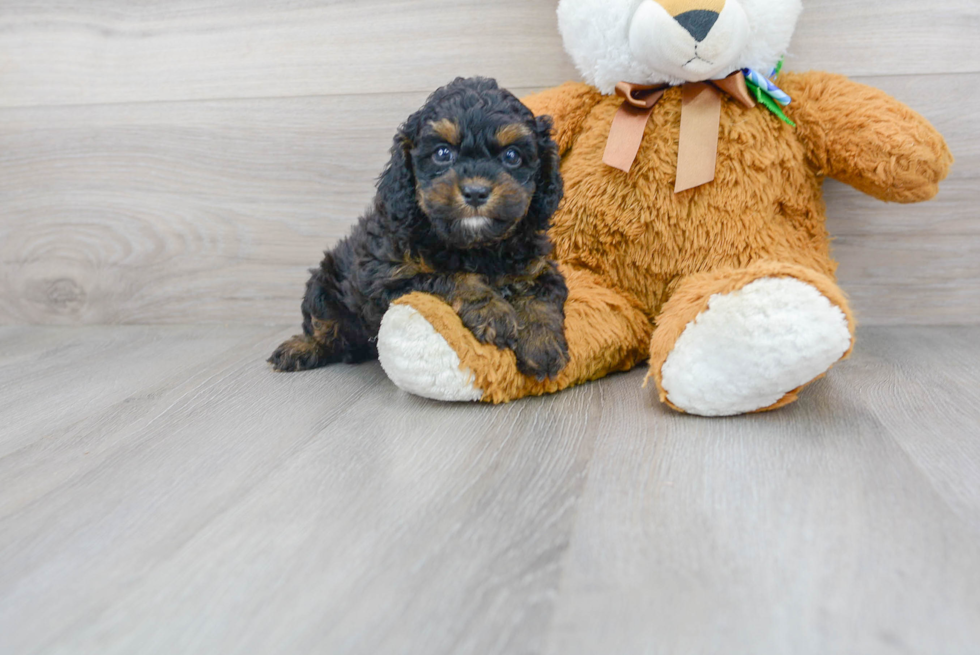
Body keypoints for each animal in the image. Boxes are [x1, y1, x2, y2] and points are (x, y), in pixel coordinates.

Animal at [272, 78, 572, 380]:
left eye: (512, 155)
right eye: (442, 153)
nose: (476, 192)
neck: (475, 246)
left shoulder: (538, 267)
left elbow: (540, 298)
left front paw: (542, 344)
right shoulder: (390, 277)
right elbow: (448, 277)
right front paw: (492, 311)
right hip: (323, 285)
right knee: (322, 325)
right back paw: (300, 348)